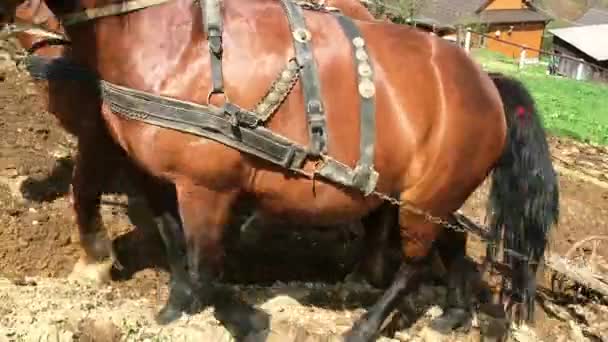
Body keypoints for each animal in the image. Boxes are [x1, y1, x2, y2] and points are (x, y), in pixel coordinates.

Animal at [1, 0, 560, 340]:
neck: (174, 42)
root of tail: (489, 84)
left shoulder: (208, 188)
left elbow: (206, 266)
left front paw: (240, 319)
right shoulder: (155, 178)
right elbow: (175, 246)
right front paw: (174, 309)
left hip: (426, 201)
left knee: (415, 265)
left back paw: (365, 324)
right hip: (430, 196)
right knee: (454, 243)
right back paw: (453, 313)